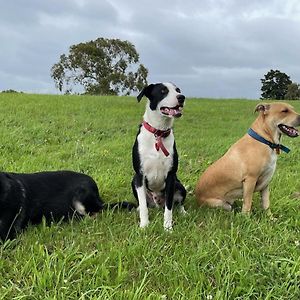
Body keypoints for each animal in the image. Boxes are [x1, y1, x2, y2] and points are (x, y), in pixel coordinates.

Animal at [132, 82, 186, 230]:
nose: (181, 97)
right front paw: (144, 225)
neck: (158, 133)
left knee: (178, 202)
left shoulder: (171, 176)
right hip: (133, 181)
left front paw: (167, 228)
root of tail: (157, 204)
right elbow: (143, 205)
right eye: (163, 91)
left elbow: (169, 207)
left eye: (177, 90)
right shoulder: (139, 175)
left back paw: (183, 211)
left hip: (179, 185)